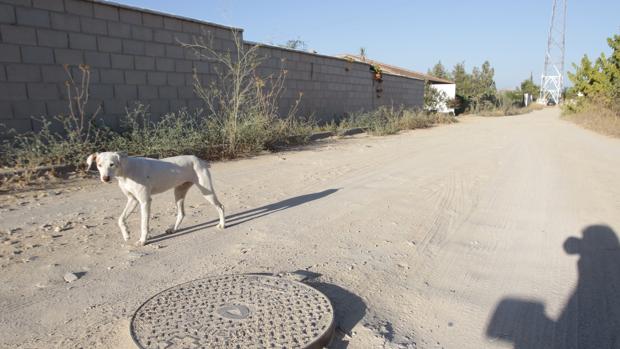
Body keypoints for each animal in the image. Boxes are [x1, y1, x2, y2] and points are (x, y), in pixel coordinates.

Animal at [86, 152, 224, 245]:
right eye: (99, 165)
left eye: (112, 164)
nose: (105, 178)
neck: (126, 171)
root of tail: (199, 159)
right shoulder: (133, 200)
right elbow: (120, 219)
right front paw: (126, 235)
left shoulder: (145, 201)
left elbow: (144, 225)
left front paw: (142, 240)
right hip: (179, 192)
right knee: (181, 213)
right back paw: (173, 229)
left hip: (206, 191)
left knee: (220, 206)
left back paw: (222, 225)